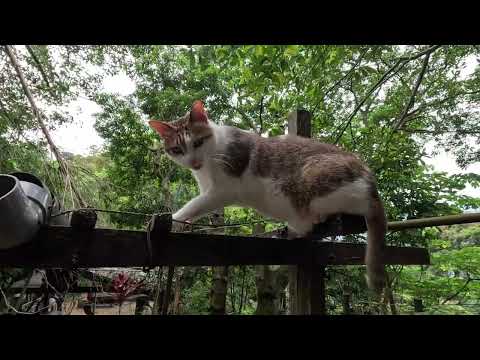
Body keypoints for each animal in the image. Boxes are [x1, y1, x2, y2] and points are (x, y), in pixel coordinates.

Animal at [148, 100, 388, 292]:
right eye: (178, 150)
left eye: (198, 142)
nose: (194, 162)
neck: (208, 162)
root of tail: (369, 179)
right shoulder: (209, 189)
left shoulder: (223, 189)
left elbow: (194, 205)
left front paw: (174, 219)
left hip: (310, 179)